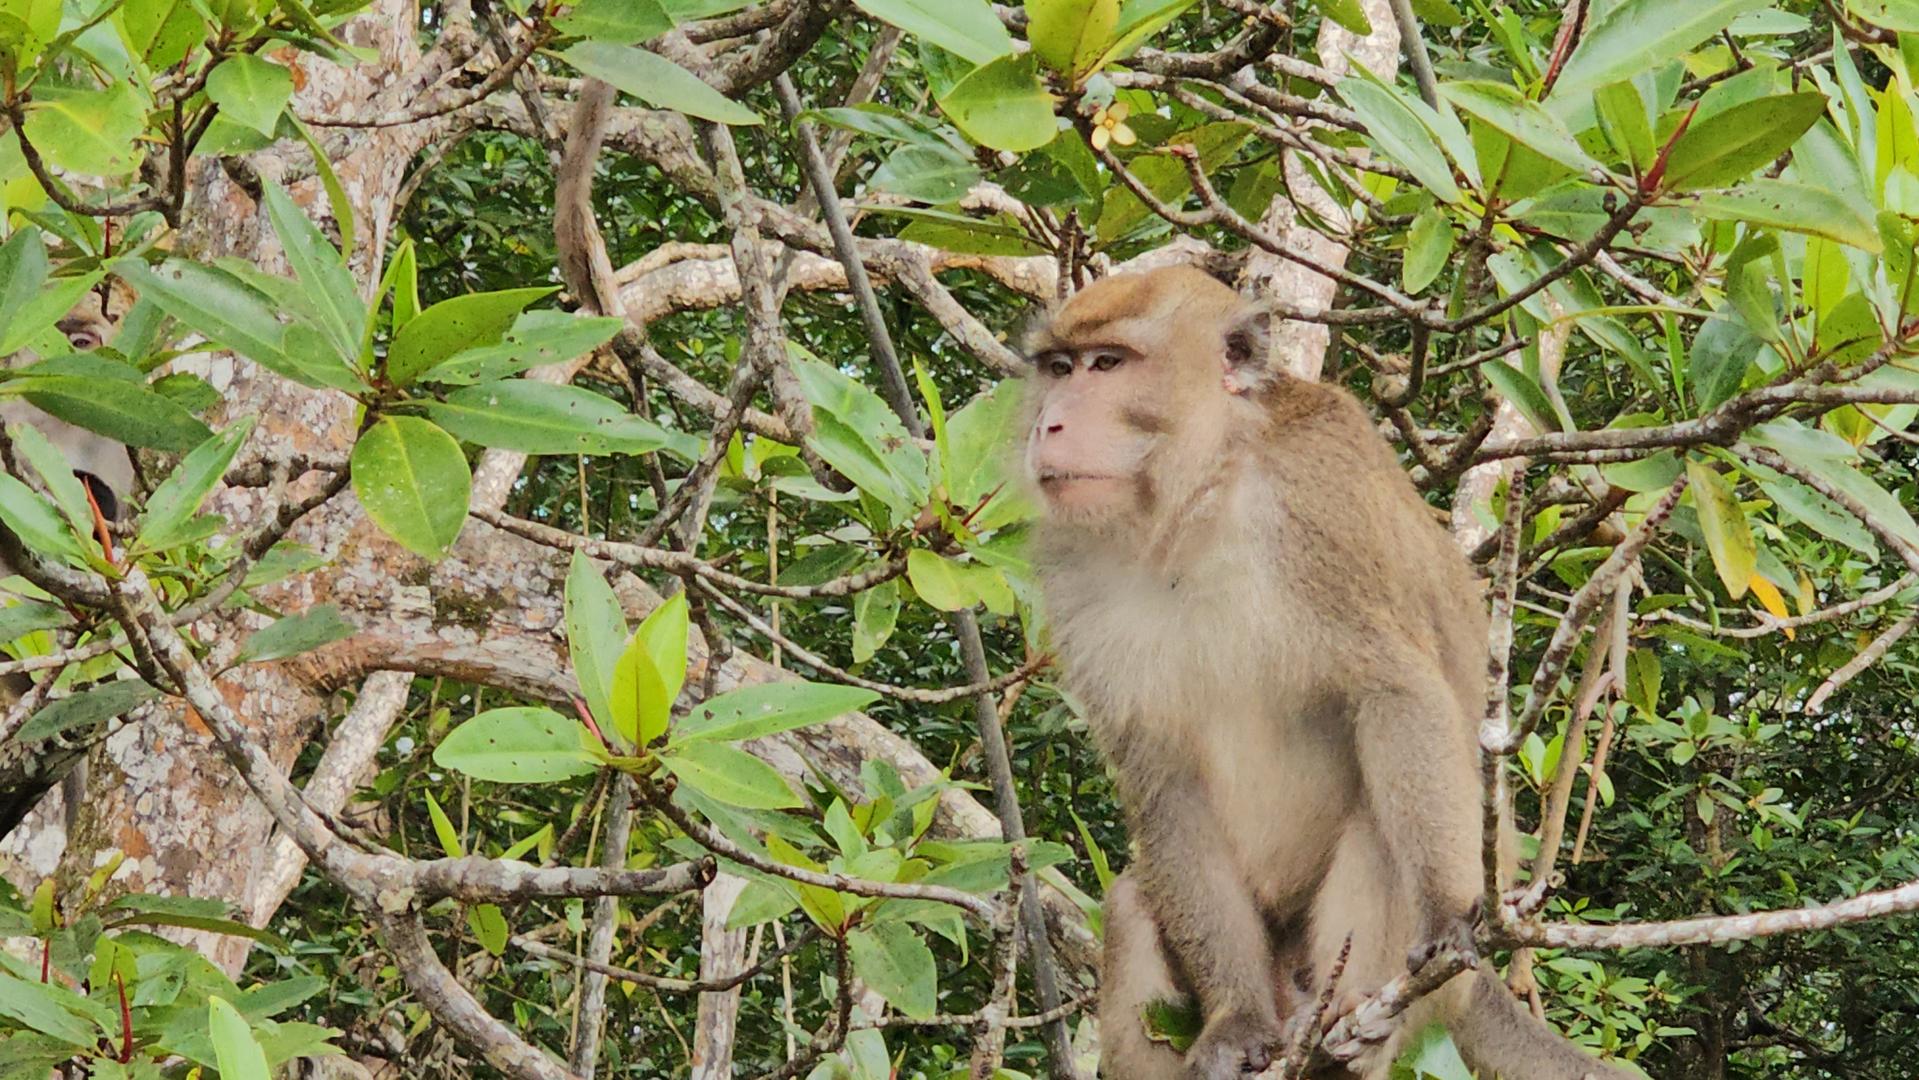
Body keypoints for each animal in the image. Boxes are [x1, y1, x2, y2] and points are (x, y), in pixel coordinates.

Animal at [1019, 266, 1634, 1080]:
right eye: (1058, 369)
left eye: (1108, 365)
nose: (1047, 426)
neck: (1196, 503)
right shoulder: (1071, 568)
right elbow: (1162, 776)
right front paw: (1234, 1019)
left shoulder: (1319, 501)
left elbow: (1395, 692)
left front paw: (1445, 914)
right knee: (1130, 903)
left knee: (1384, 808)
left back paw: (1352, 1032)